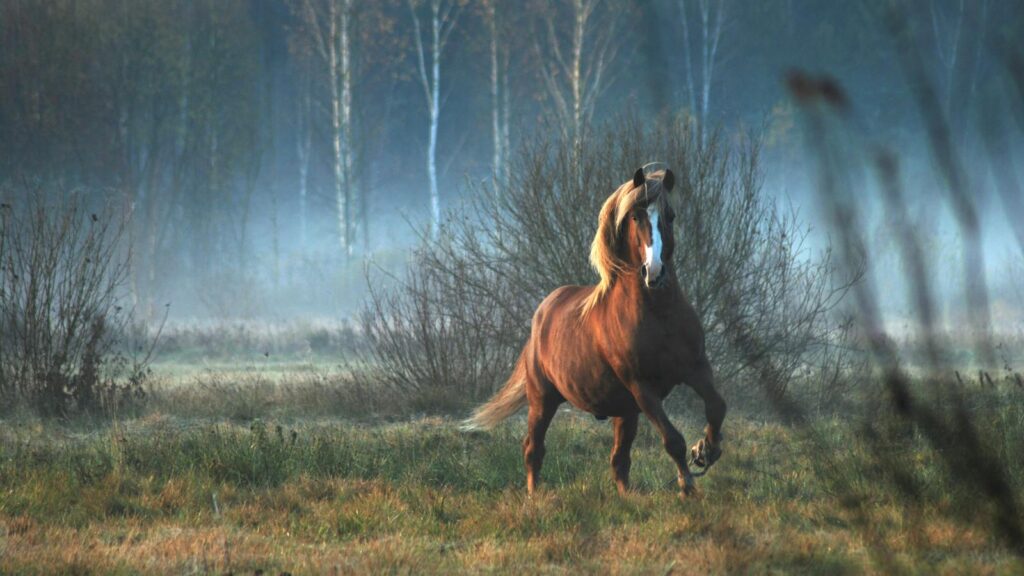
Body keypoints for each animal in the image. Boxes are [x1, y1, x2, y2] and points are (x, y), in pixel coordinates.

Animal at [462, 167, 727, 498]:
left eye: (671, 216)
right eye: (636, 216)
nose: (654, 272)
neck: (659, 315)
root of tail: (542, 315)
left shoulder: (696, 367)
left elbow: (717, 407)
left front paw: (706, 450)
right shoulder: (642, 387)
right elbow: (672, 439)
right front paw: (687, 485)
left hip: (625, 410)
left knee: (619, 459)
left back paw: (628, 497)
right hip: (543, 399)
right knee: (533, 449)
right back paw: (535, 496)